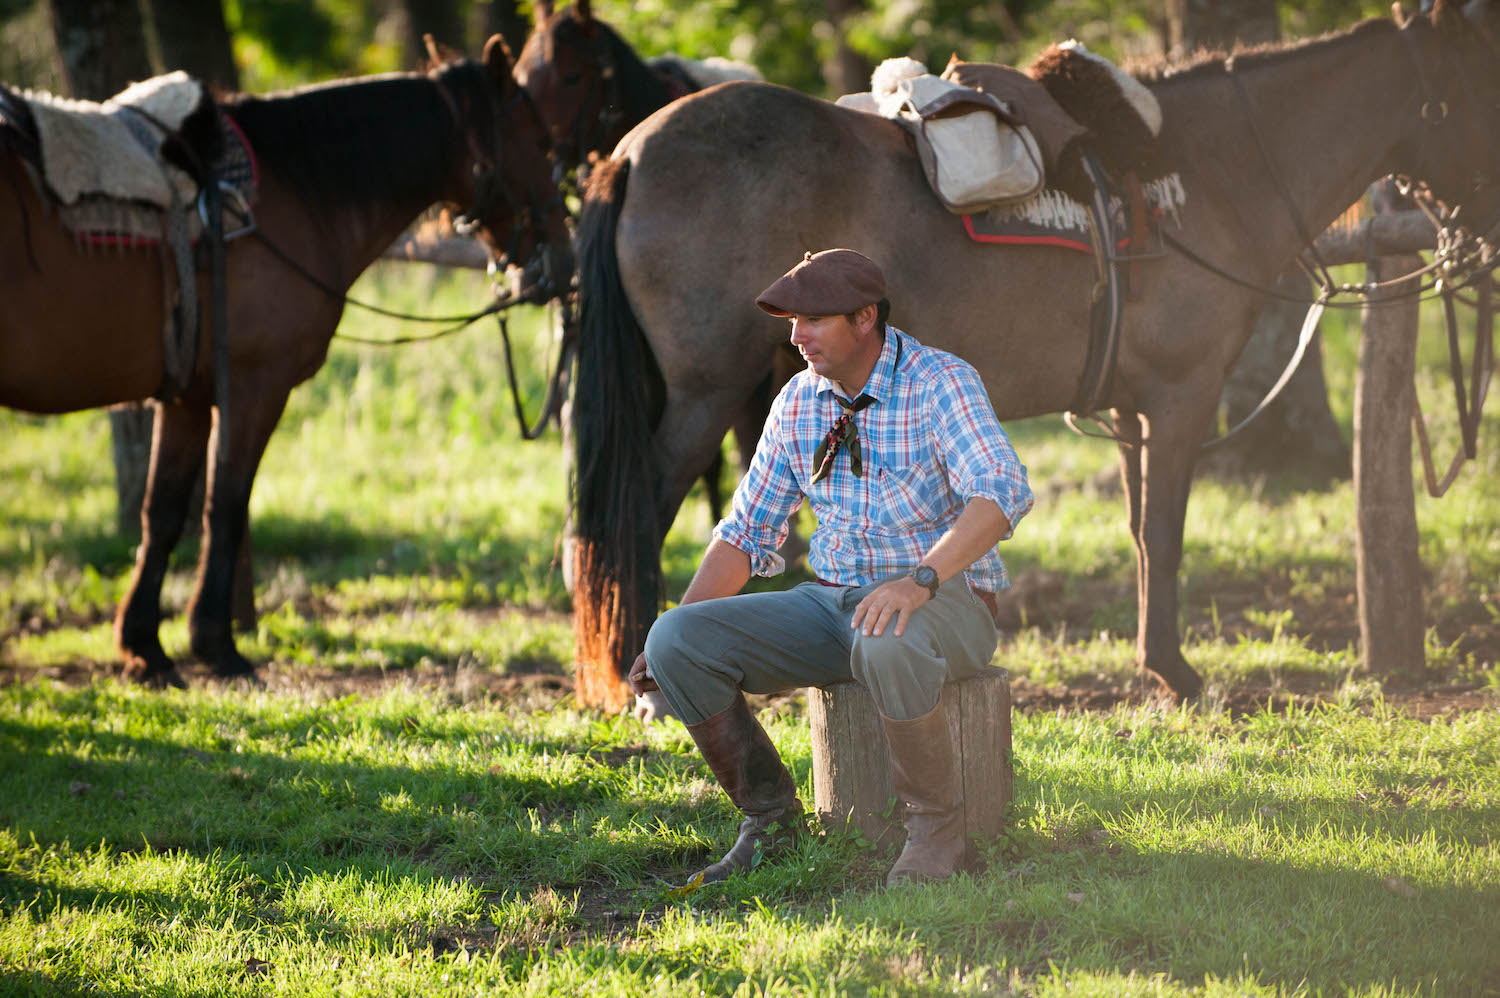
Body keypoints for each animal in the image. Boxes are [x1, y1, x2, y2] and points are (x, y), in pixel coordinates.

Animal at [564, 3, 1500, 711]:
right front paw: (1177, 673)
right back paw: (640, 679)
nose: (1485, 234)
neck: (1206, 172)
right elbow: (1166, 535)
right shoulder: (1182, 396)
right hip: (703, 394)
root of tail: (632, 149)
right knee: (634, 514)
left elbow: (1141, 532)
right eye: (1478, 84)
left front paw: (1155, 663)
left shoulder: (1130, 407)